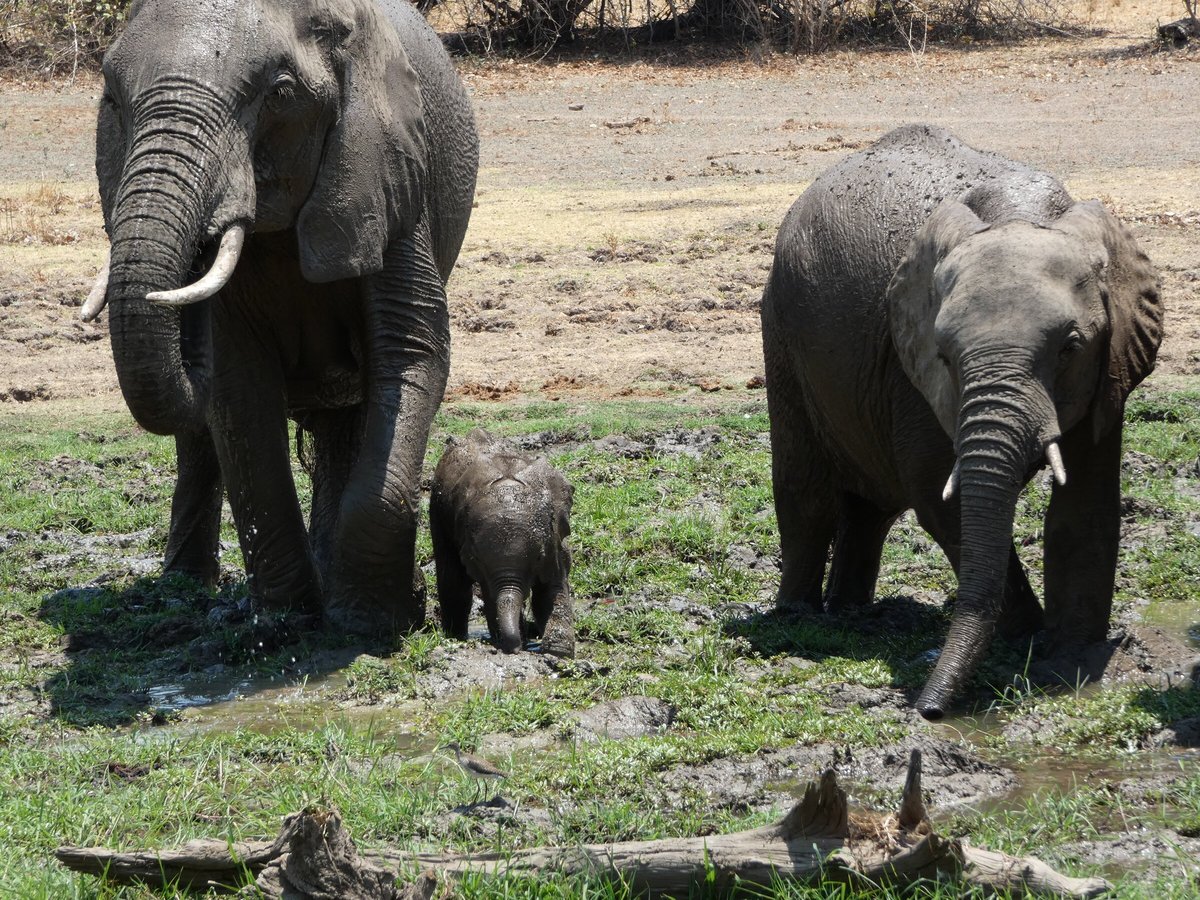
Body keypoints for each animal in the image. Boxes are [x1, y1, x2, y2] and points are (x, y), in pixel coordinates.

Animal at [81, 0, 477, 638]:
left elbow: (412, 352)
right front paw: (287, 623)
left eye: (281, 94)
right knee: (202, 437)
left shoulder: (392, 177)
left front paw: (374, 621)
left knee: (348, 421)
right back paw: (182, 589)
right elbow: (238, 389)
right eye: (112, 99)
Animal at [432, 427, 576, 657]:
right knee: (453, 577)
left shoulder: (553, 537)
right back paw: (457, 636)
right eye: (476, 559)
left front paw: (558, 653)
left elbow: (551, 587)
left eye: (539, 557)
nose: (515, 649)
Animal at [758, 123, 1161, 724]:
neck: (1019, 215)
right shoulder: (909, 370)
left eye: (1070, 347)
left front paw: (1071, 656)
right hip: (782, 331)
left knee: (870, 509)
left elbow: (1085, 506)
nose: (927, 713)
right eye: (944, 356)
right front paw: (1029, 639)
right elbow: (941, 499)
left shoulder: (1109, 365)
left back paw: (852, 612)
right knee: (806, 493)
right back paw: (799, 616)